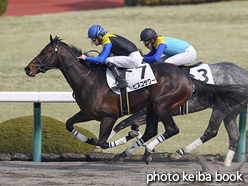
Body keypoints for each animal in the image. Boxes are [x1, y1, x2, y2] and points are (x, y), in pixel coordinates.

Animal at [24, 35, 248, 163]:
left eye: (45, 51)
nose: (28, 68)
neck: (90, 78)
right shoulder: (88, 113)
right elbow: (69, 124)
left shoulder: (112, 115)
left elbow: (106, 137)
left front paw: (102, 144)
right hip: (225, 111)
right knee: (233, 136)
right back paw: (227, 163)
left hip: (176, 106)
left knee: (193, 130)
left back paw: (167, 151)